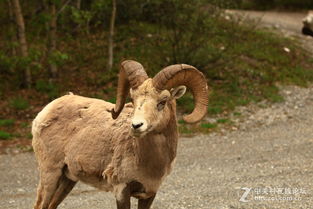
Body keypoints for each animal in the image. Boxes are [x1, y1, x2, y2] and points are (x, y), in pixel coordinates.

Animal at [31, 59, 207, 208]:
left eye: (162, 102)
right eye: (133, 100)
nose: (136, 126)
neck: (147, 162)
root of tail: (45, 112)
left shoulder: (149, 194)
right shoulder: (122, 190)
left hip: (67, 179)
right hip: (50, 175)